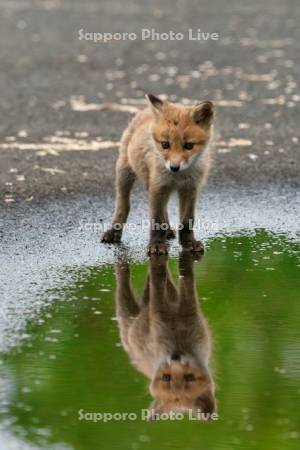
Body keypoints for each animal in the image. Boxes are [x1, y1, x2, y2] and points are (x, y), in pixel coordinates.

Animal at [102, 94, 214, 253]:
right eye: (165, 145)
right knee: (123, 205)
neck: (178, 177)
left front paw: (189, 242)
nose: (174, 167)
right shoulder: (158, 185)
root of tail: (145, 111)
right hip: (125, 173)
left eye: (188, 146)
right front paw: (156, 244)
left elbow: (187, 221)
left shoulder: (190, 188)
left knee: (165, 208)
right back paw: (114, 231)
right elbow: (157, 220)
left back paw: (168, 230)